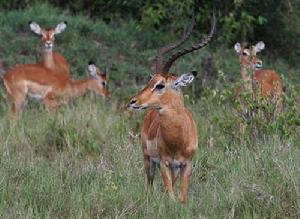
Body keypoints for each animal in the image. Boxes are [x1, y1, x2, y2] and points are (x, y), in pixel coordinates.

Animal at [129, 12, 216, 204]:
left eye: (160, 85)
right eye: (150, 81)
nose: (133, 101)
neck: (178, 139)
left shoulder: (186, 165)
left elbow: (182, 197)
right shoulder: (164, 163)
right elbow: (171, 196)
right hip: (148, 159)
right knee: (149, 185)